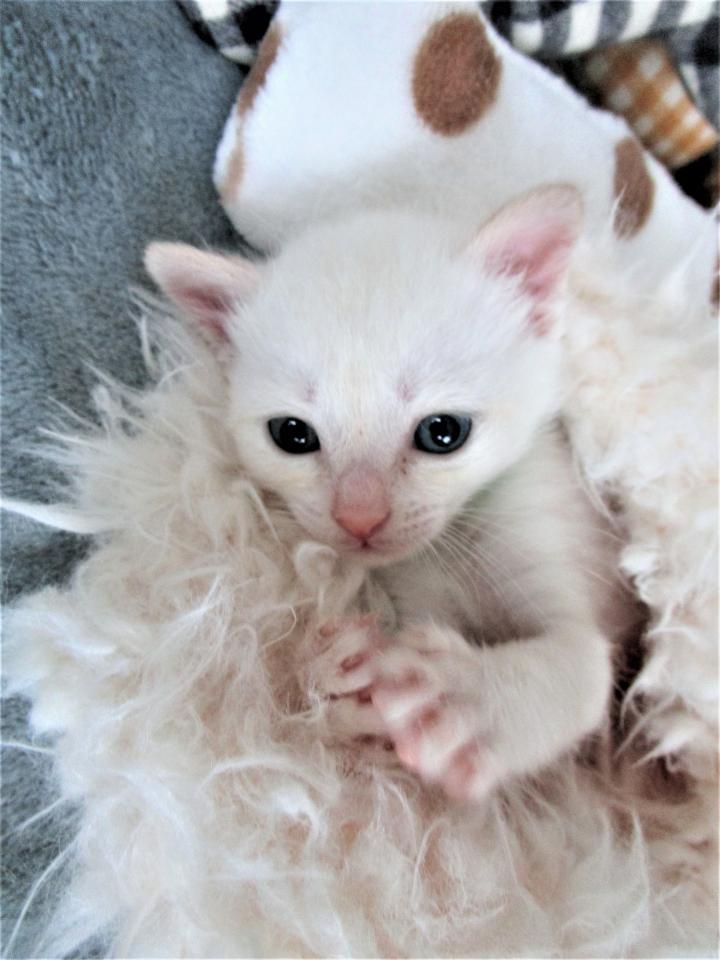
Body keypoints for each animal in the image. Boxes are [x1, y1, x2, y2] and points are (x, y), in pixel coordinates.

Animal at [144, 185, 627, 803]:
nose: (359, 517)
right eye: (292, 434)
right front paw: (342, 682)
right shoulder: (418, 596)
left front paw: (461, 700)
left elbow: (584, 662)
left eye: (443, 432)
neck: (457, 539)